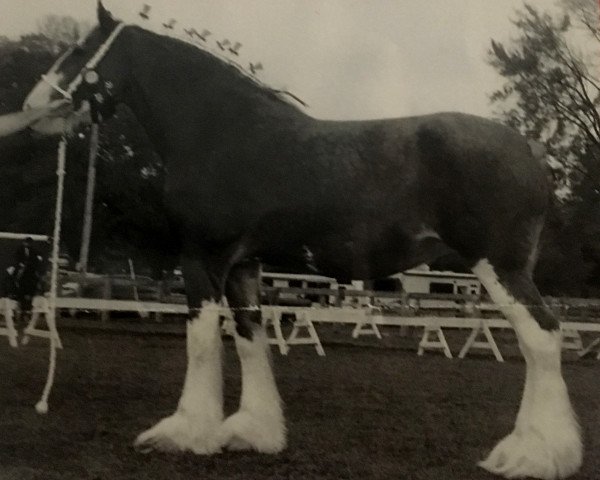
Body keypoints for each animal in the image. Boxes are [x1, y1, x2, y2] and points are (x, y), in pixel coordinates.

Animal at [23, 2, 580, 476]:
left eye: (79, 50)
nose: (32, 106)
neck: (220, 132)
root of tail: (529, 148)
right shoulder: (243, 265)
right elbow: (250, 339)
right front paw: (252, 432)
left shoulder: (203, 258)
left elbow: (201, 341)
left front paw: (183, 433)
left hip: (499, 266)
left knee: (541, 338)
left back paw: (533, 456)